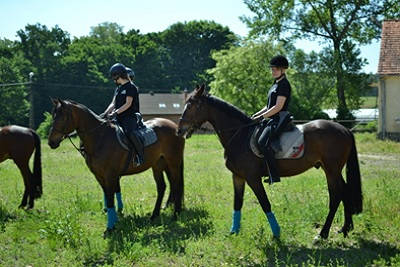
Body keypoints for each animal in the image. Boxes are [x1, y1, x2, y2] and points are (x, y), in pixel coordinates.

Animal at [47, 99, 185, 234]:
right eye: (53, 116)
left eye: (62, 118)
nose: (51, 142)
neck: (100, 137)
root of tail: (174, 127)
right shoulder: (99, 176)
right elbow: (109, 196)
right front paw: (114, 220)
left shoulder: (110, 175)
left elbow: (110, 198)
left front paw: (110, 227)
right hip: (158, 164)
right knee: (162, 187)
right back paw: (154, 215)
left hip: (173, 162)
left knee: (176, 184)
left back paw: (176, 214)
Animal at [178, 85, 362, 241]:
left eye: (192, 105)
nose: (180, 130)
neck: (239, 135)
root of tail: (344, 129)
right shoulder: (238, 176)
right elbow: (237, 203)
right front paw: (234, 231)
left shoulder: (253, 178)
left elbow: (265, 203)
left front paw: (276, 233)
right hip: (332, 169)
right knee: (345, 191)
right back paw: (345, 228)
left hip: (331, 170)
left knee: (336, 196)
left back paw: (322, 234)